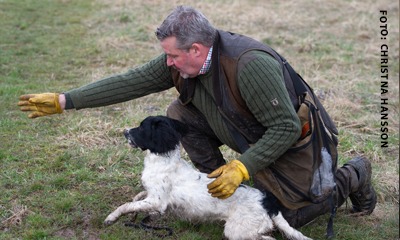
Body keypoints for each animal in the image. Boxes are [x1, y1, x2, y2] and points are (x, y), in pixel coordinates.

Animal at [104, 116, 312, 240]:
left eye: (141, 128)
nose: (124, 132)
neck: (163, 159)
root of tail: (269, 202)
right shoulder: (153, 197)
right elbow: (136, 198)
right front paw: (134, 216)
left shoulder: (157, 200)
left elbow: (126, 204)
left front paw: (111, 217)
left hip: (237, 231)